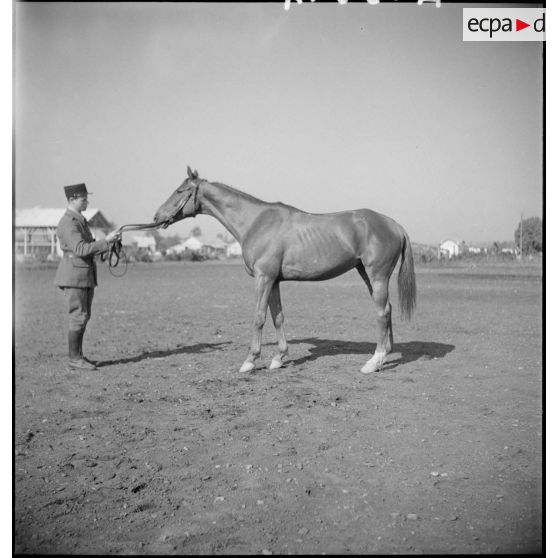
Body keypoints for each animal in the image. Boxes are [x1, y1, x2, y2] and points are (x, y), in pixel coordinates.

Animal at [153, 167, 416, 376]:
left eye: (180, 190)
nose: (157, 216)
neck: (256, 221)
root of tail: (394, 225)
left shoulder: (263, 278)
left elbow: (259, 317)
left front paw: (250, 361)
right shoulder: (275, 281)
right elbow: (277, 317)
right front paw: (279, 358)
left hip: (377, 276)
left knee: (382, 312)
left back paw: (373, 362)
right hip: (366, 274)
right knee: (388, 309)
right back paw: (385, 355)